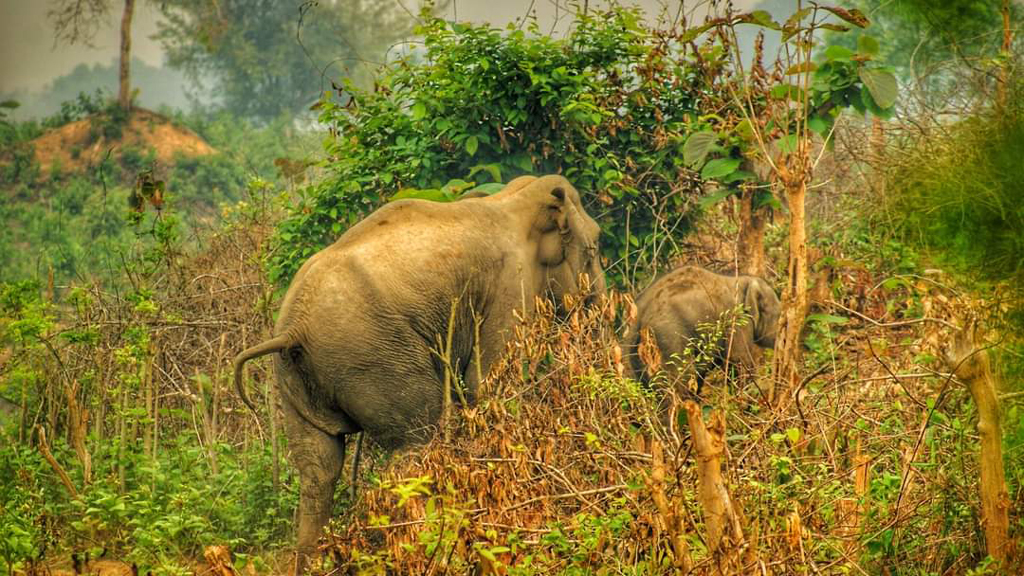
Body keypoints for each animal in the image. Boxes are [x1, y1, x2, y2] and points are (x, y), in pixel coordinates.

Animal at [232, 174, 598, 569]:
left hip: (295, 378)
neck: (513, 199)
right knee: (414, 443)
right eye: (594, 247)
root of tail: (292, 329)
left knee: (319, 468)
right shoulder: (510, 289)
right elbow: (489, 384)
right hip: (376, 356)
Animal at [622, 264, 782, 389]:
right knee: (681, 377)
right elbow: (738, 360)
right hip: (667, 336)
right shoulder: (736, 321)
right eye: (779, 316)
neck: (740, 280)